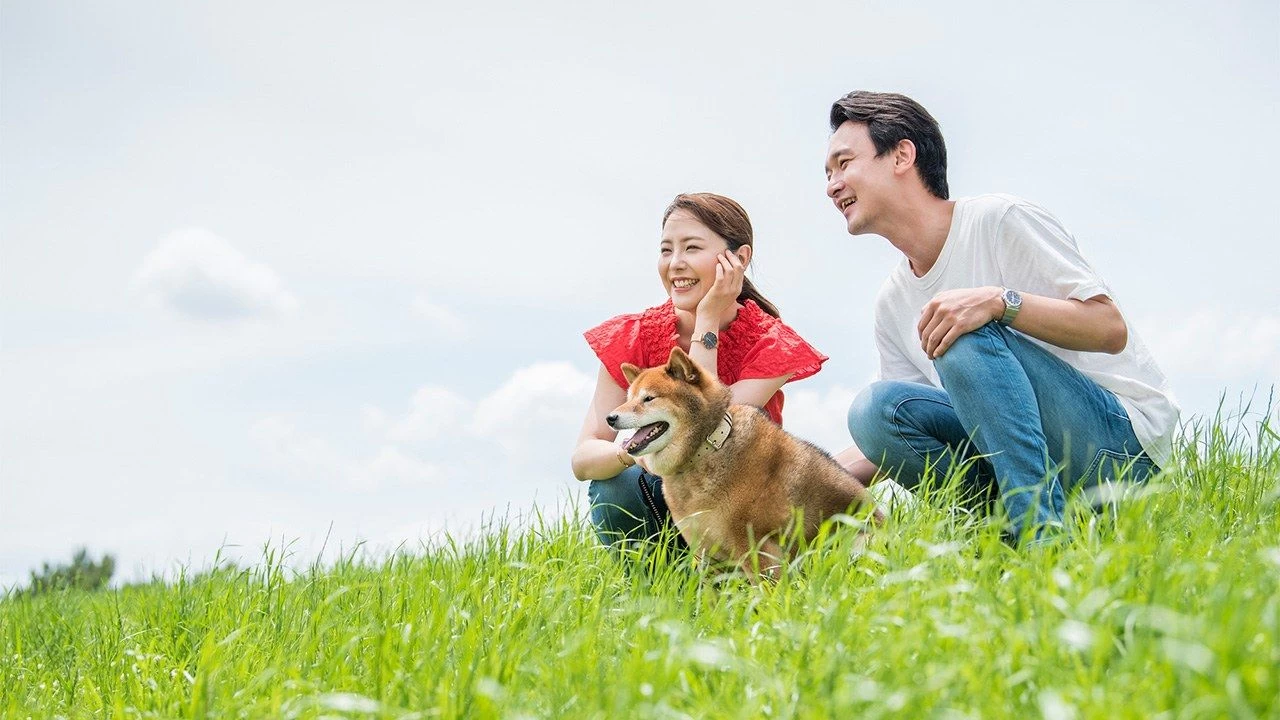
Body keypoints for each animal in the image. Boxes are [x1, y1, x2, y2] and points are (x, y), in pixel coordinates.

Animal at [609, 345, 880, 573]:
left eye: (648, 398)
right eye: (628, 399)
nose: (610, 417)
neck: (703, 451)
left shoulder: (758, 548)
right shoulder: (706, 555)